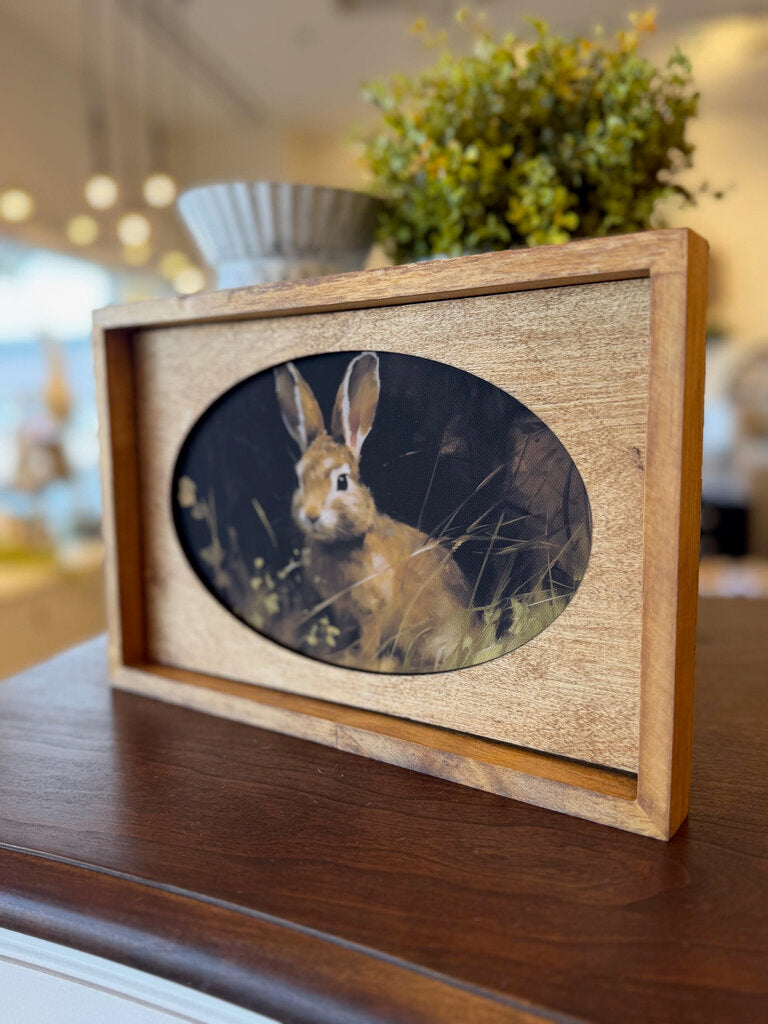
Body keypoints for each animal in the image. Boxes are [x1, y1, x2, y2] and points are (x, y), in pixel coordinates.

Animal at [274, 351, 473, 672]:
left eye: (342, 481)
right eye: (300, 478)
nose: (311, 514)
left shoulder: (372, 611)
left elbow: (368, 642)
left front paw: (361, 660)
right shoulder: (341, 612)